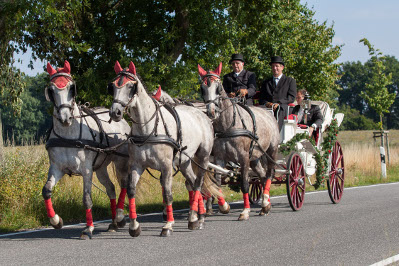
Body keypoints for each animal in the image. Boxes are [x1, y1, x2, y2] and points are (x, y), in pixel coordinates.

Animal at [43, 60, 131, 239]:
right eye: (51, 90)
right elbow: (47, 190)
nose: (65, 118)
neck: (69, 135)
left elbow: (86, 198)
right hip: (101, 168)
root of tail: (123, 121)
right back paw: (113, 223)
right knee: (111, 188)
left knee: (124, 184)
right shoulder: (56, 168)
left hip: (120, 161)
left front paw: (88, 228)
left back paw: (119, 218)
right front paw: (56, 221)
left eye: (72, 88)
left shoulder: (86, 170)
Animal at [108, 60, 216, 237]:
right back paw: (196, 217)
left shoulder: (166, 166)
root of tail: (203, 114)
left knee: (198, 183)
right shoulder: (136, 165)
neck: (148, 129)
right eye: (112, 86)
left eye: (130, 87)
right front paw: (134, 226)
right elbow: (131, 190)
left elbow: (167, 193)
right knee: (192, 182)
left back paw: (196, 217)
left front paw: (168, 225)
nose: (115, 112)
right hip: (185, 161)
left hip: (203, 157)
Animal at [198, 62, 280, 220]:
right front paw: (224, 206)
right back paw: (265, 206)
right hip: (255, 157)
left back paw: (265, 201)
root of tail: (269, 113)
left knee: (269, 174)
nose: (211, 112)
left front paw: (245, 211)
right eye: (202, 88)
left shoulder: (243, 158)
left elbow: (244, 184)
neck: (228, 125)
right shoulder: (219, 158)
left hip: (271, 151)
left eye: (218, 88)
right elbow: (217, 182)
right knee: (261, 176)